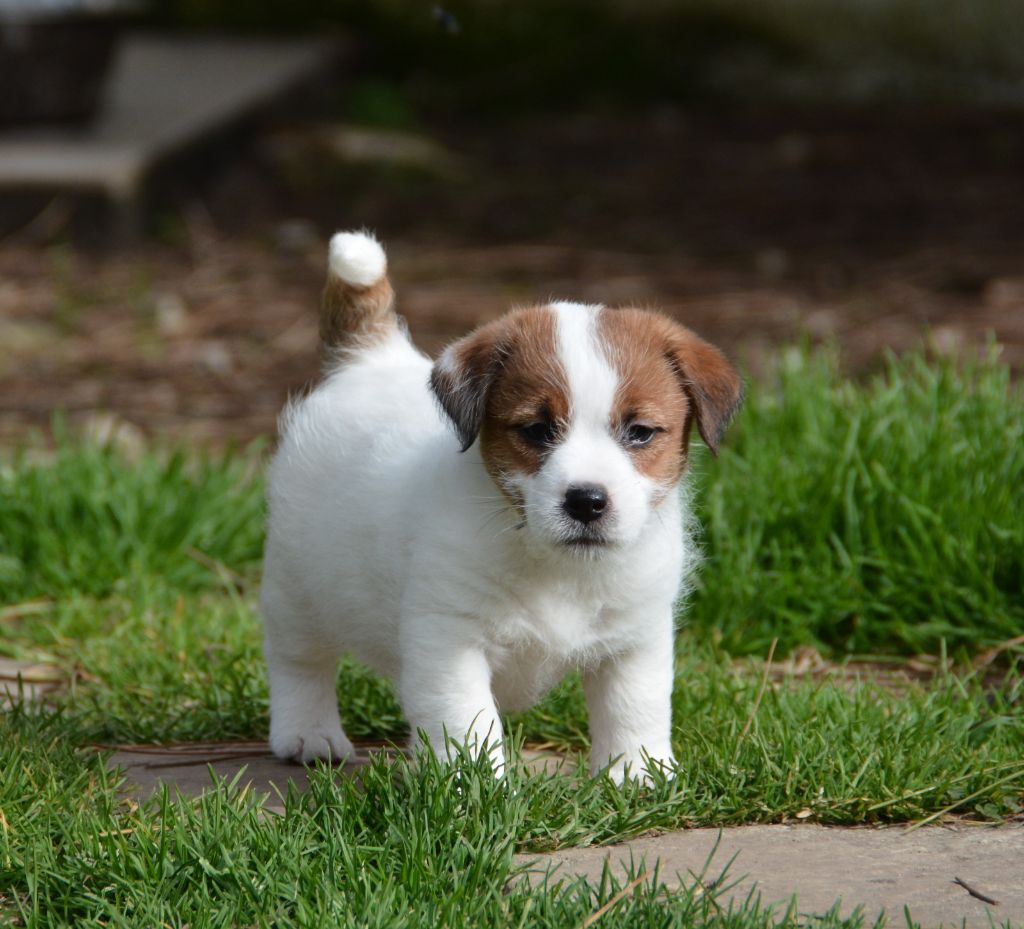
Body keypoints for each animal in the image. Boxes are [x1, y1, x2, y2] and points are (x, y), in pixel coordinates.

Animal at [260, 228, 741, 782]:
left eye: (640, 432)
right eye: (536, 429)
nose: (587, 501)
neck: (554, 564)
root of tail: (371, 357)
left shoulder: (636, 637)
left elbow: (634, 706)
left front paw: (637, 775)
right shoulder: (450, 638)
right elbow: (464, 719)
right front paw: (471, 787)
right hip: (296, 588)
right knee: (299, 662)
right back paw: (308, 734)